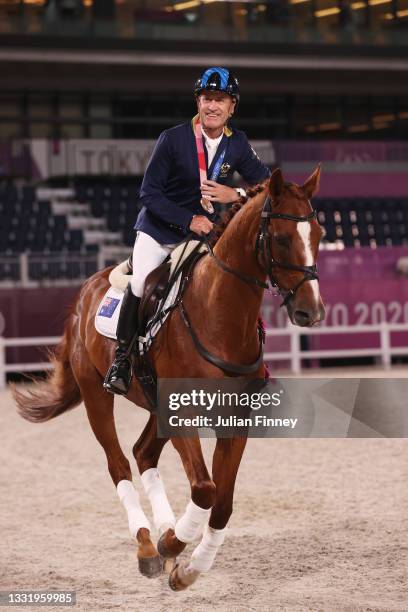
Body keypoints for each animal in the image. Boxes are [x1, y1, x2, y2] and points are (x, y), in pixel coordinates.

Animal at [12, 169, 326, 592]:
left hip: (154, 402)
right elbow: (205, 490)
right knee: (118, 464)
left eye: (319, 235)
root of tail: (86, 290)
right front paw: (174, 543)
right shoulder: (183, 415)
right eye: (281, 238)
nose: (312, 312)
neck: (218, 314)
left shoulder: (234, 420)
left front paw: (188, 564)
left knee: (144, 452)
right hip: (96, 394)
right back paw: (149, 545)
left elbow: (222, 503)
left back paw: (163, 533)